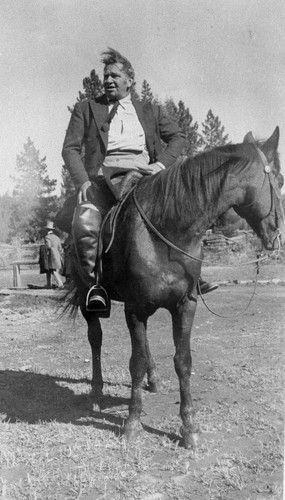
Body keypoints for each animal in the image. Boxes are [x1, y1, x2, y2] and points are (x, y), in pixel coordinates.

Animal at [69, 127, 284, 448]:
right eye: (279, 181)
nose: (277, 235)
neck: (167, 229)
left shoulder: (184, 305)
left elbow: (182, 361)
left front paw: (189, 427)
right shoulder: (134, 309)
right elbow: (134, 363)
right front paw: (132, 423)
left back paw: (153, 381)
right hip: (89, 299)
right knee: (95, 339)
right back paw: (96, 391)